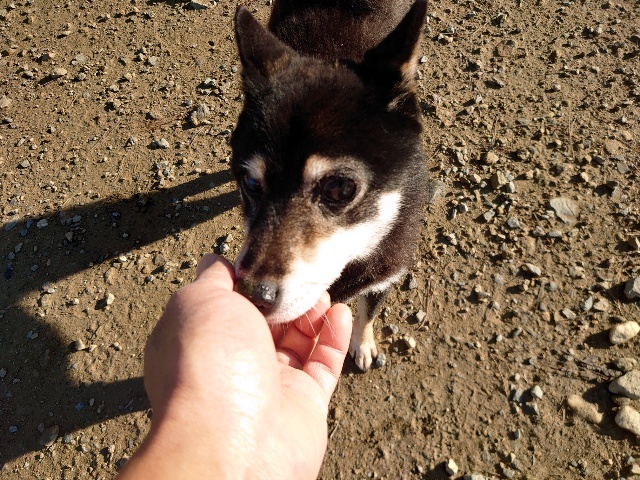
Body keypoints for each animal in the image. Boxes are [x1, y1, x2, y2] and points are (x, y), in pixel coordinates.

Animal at [230, 0, 429, 371]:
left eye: (338, 189)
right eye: (250, 182)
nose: (253, 296)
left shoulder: (384, 275)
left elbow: (367, 313)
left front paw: (362, 344)